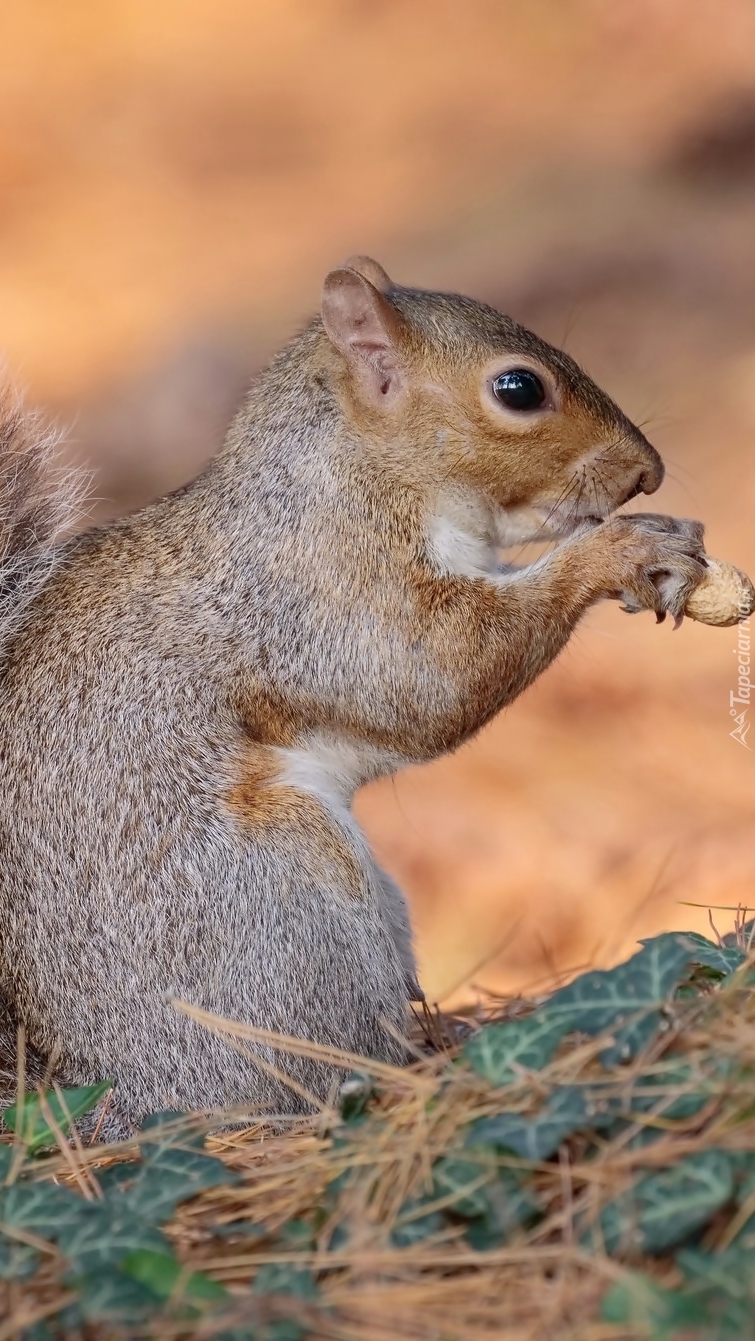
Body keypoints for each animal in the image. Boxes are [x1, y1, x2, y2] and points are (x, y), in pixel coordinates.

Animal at [0, 253, 708, 1131]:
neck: (361, 474)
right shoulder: (325, 593)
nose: (648, 472)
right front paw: (615, 553)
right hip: (284, 902)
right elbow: (432, 676)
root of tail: (110, 1099)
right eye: (518, 389)